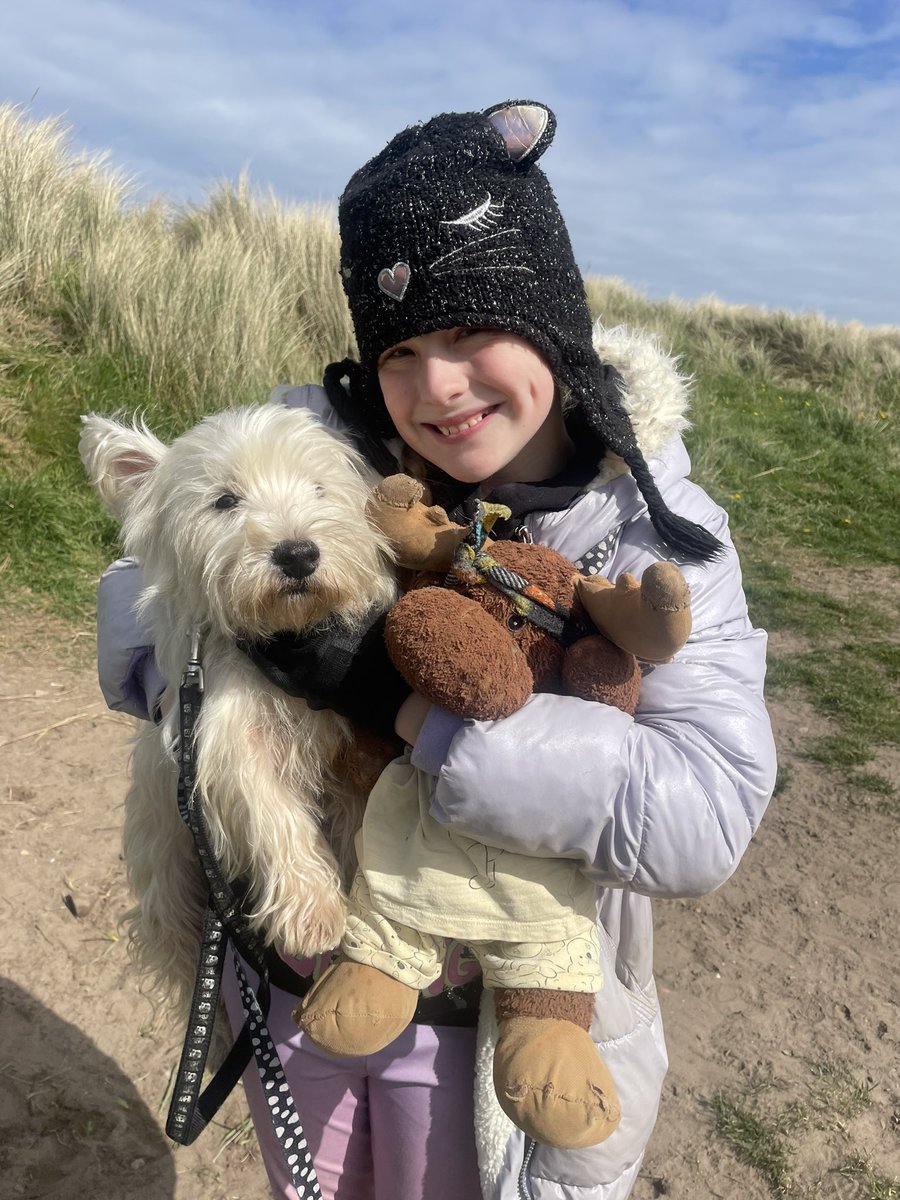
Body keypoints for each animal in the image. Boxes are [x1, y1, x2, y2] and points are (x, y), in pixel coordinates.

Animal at [80, 403, 398, 1012]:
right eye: (225, 500)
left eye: (318, 488)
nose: (298, 553)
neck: (283, 636)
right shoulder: (225, 731)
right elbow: (270, 808)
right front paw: (314, 913)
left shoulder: (346, 744)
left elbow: (356, 819)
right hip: (172, 890)